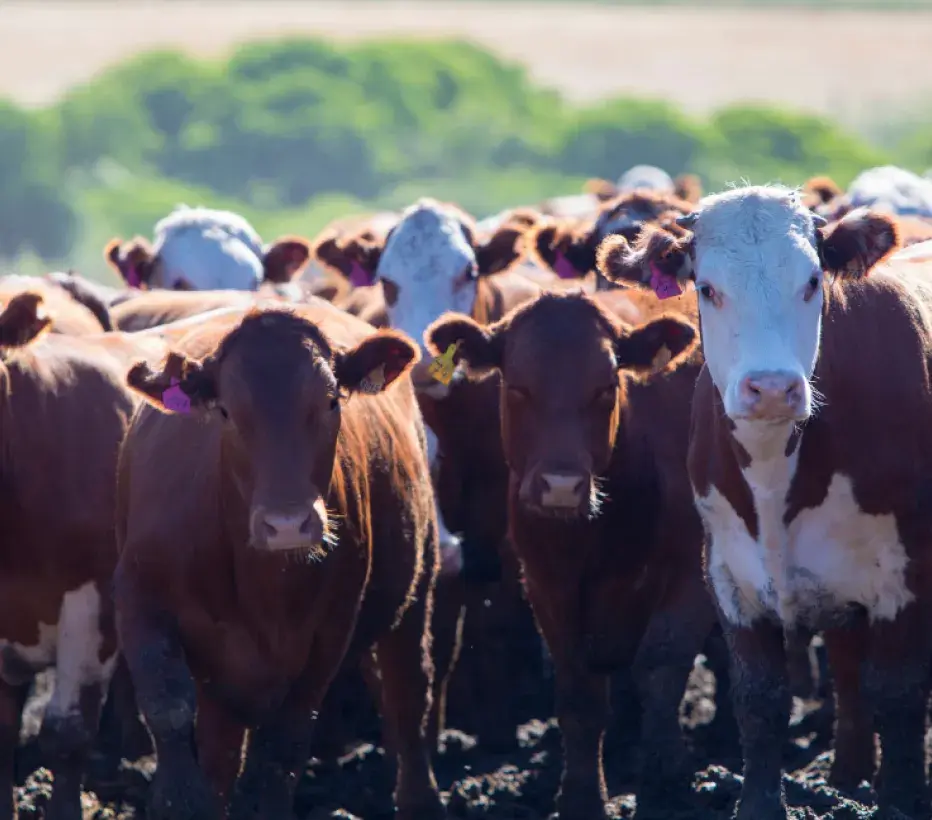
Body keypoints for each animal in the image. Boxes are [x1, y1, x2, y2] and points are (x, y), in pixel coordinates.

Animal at [114, 304, 446, 820]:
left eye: (331, 402)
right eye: (226, 411)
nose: (287, 523)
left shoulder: (330, 630)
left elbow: (282, 745)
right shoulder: (138, 596)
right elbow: (169, 709)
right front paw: (181, 799)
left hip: (417, 587)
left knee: (408, 691)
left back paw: (420, 799)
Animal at [424, 288, 718, 820]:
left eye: (605, 387)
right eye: (518, 387)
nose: (561, 486)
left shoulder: (694, 570)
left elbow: (661, 667)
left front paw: (666, 784)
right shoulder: (546, 584)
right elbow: (579, 694)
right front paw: (583, 796)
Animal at [597, 184, 929, 819]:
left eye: (811, 280)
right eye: (707, 288)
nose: (772, 388)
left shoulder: (906, 570)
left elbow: (901, 695)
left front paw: (901, 801)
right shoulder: (729, 571)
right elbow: (759, 699)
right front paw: (757, 803)